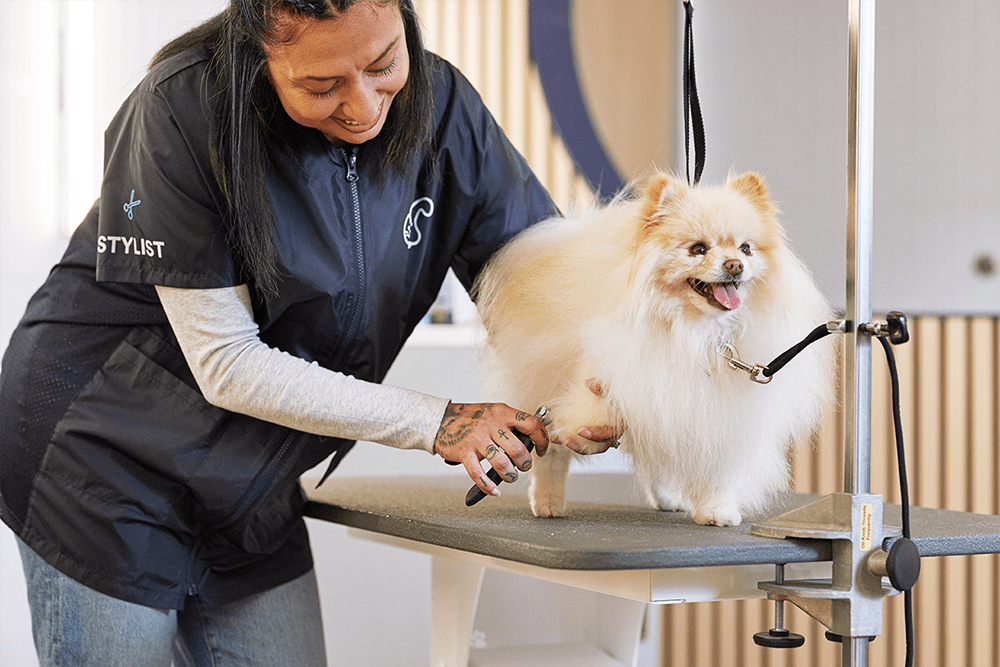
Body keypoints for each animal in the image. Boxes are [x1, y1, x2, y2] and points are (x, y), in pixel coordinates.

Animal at [472, 172, 832, 528]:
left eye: (746, 248)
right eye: (698, 249)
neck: (696, 332)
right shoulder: (624, 377)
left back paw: (668, 498)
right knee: (549, 453)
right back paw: (548, 502)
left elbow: (714, 467)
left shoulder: (717, 414)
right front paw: (586, 430)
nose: (735, 265)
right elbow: (588, 413)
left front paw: (716, 509)